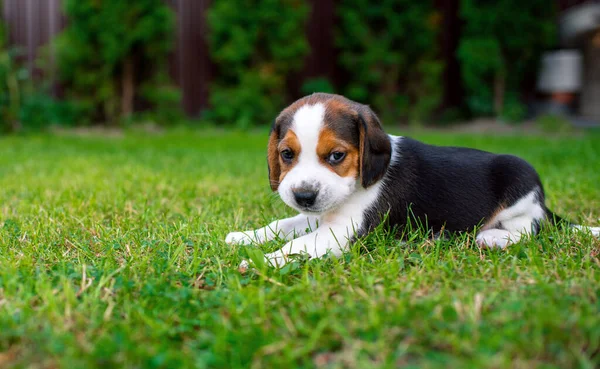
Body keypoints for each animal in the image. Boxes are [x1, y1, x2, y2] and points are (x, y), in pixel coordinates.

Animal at [226, 93, 600, 266]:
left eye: (336, 156)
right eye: (287, 154)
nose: (303, 195)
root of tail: (543, 203)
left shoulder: (341, 232)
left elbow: (297, 245)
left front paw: (258, 262)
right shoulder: (320, 216)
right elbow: (283, 225)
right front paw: (245, 237)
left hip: (519, 179)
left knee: (531, 229)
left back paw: (492, 238)